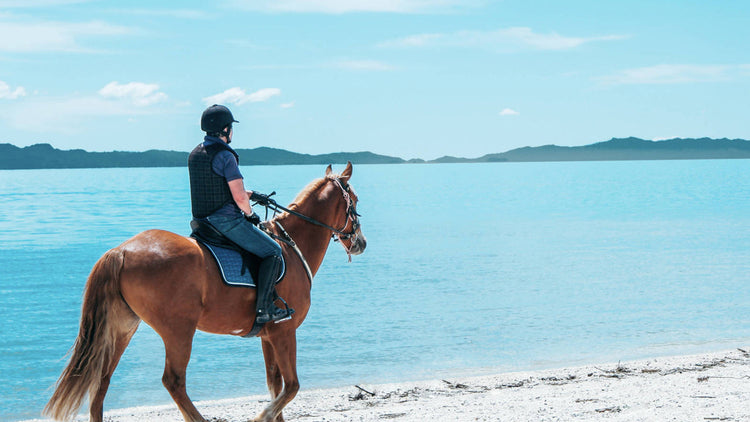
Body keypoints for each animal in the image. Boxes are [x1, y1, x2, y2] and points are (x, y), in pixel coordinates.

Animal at [44, 162, 366, 422]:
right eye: (354, 201)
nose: (360, 242)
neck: (290, 246)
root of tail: (121, 251)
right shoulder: (284, 331)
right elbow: (291, 387)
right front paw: (261, 416)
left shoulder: (269, 335)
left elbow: (275, 385)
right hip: (178, 331)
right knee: (173, 381)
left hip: (122, 328)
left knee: (102, 381)